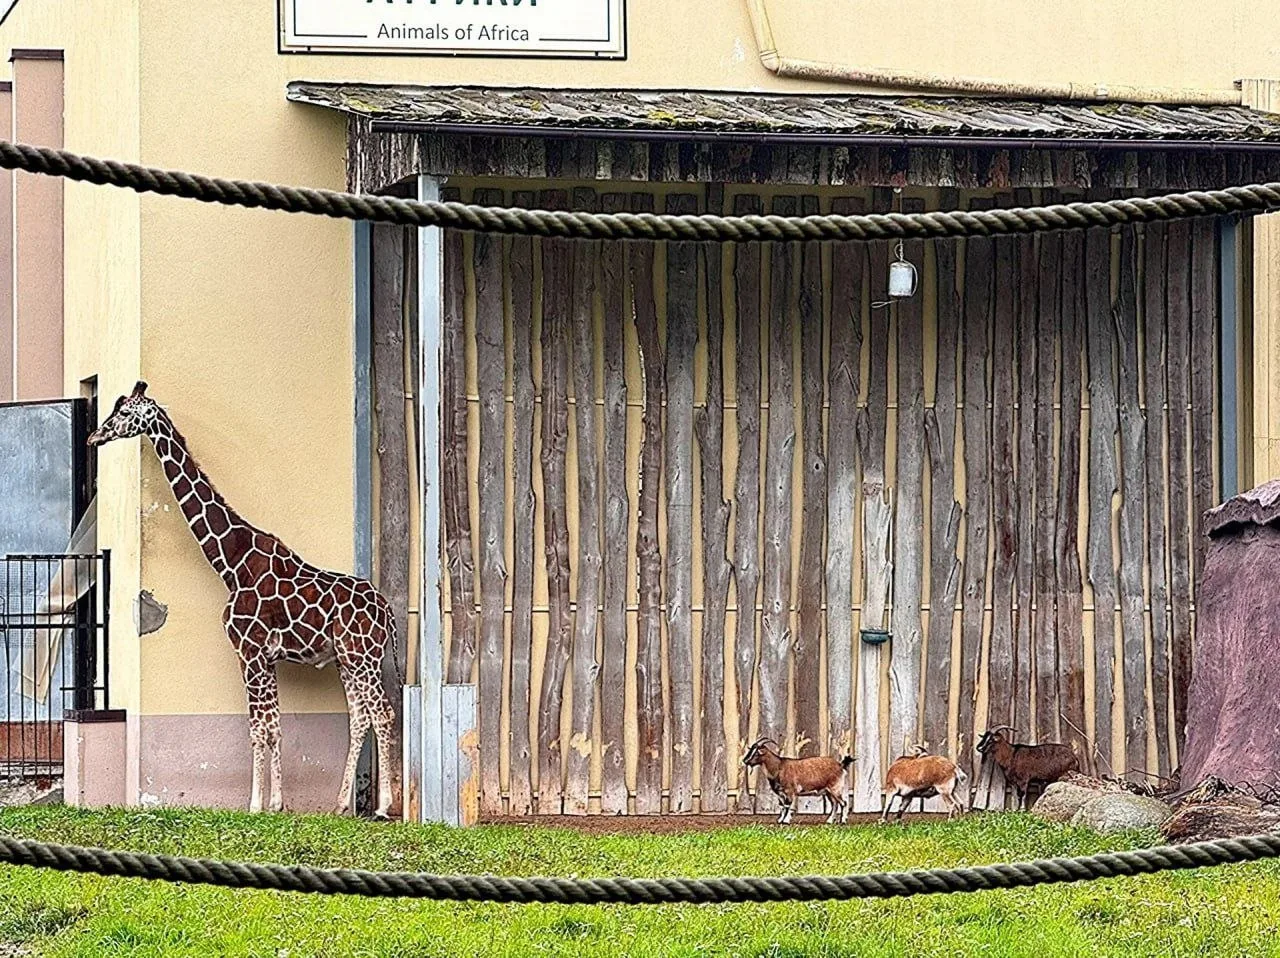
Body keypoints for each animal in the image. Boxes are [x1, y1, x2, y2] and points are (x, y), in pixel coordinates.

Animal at [88, 381, 400, 818]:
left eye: (123, 412)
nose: (94, 437)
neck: (230, 563)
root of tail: (388, 611)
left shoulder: (248, 651)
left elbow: (258, 728)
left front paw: (255, 804)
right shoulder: (264, 656)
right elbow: (273, 726)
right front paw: (276, 802)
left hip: (363, 655)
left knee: (383, 713)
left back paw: (384, 807)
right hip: (347, 660)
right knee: (360, 718)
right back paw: (340, 805)